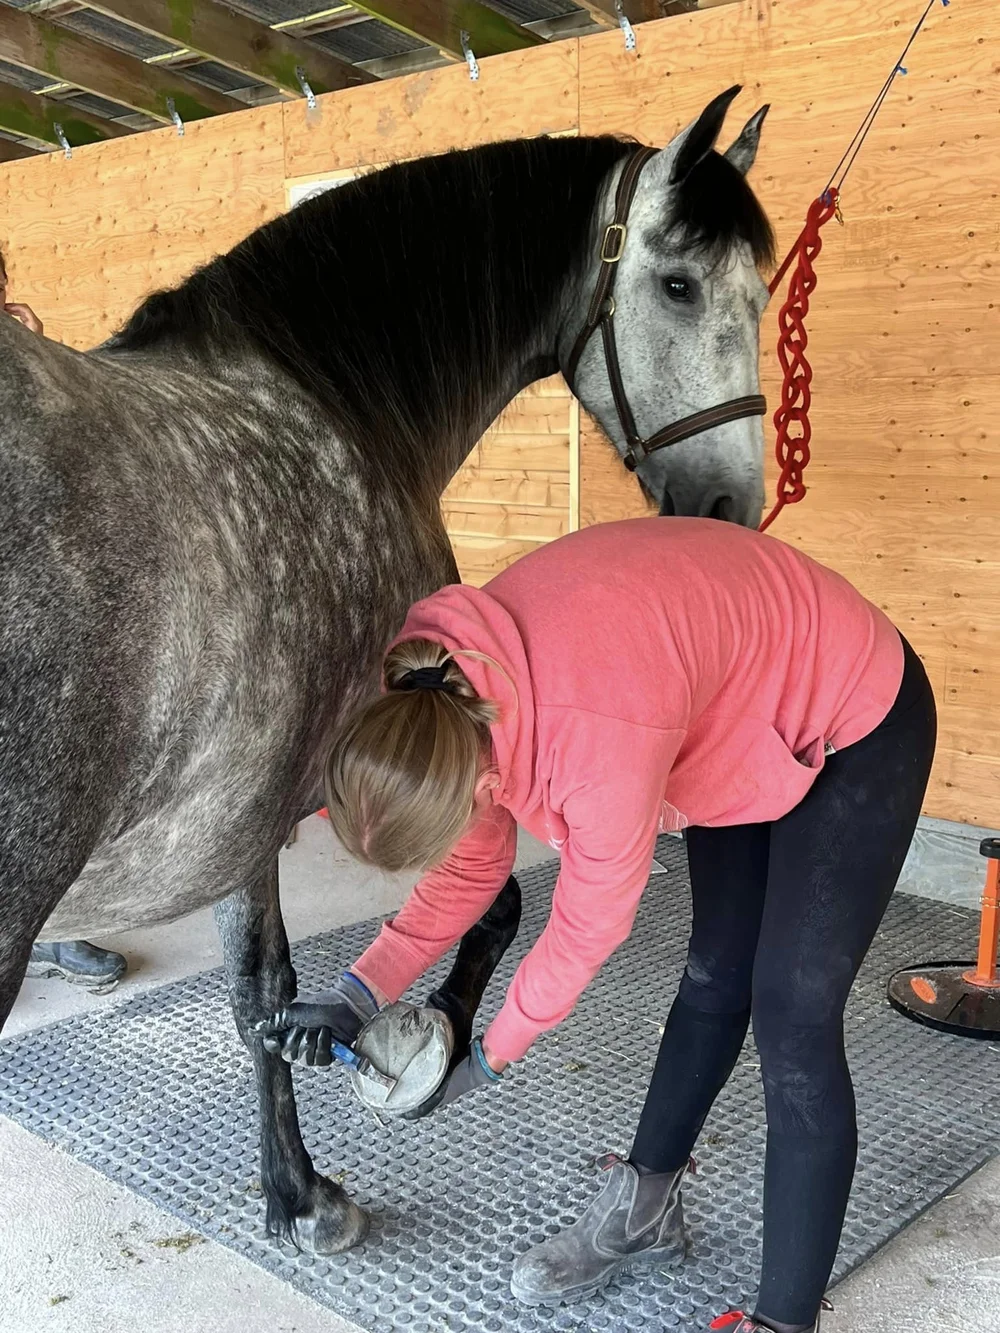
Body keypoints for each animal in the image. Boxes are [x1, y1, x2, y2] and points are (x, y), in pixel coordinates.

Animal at [0, 85, 774, 1256]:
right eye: (676, 282)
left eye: (762, 292)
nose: (731, 506)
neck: (331, 402)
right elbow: (486, 909)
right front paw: (429, 1050)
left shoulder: (233, 815)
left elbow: (259, 995)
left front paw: (293, 1185)